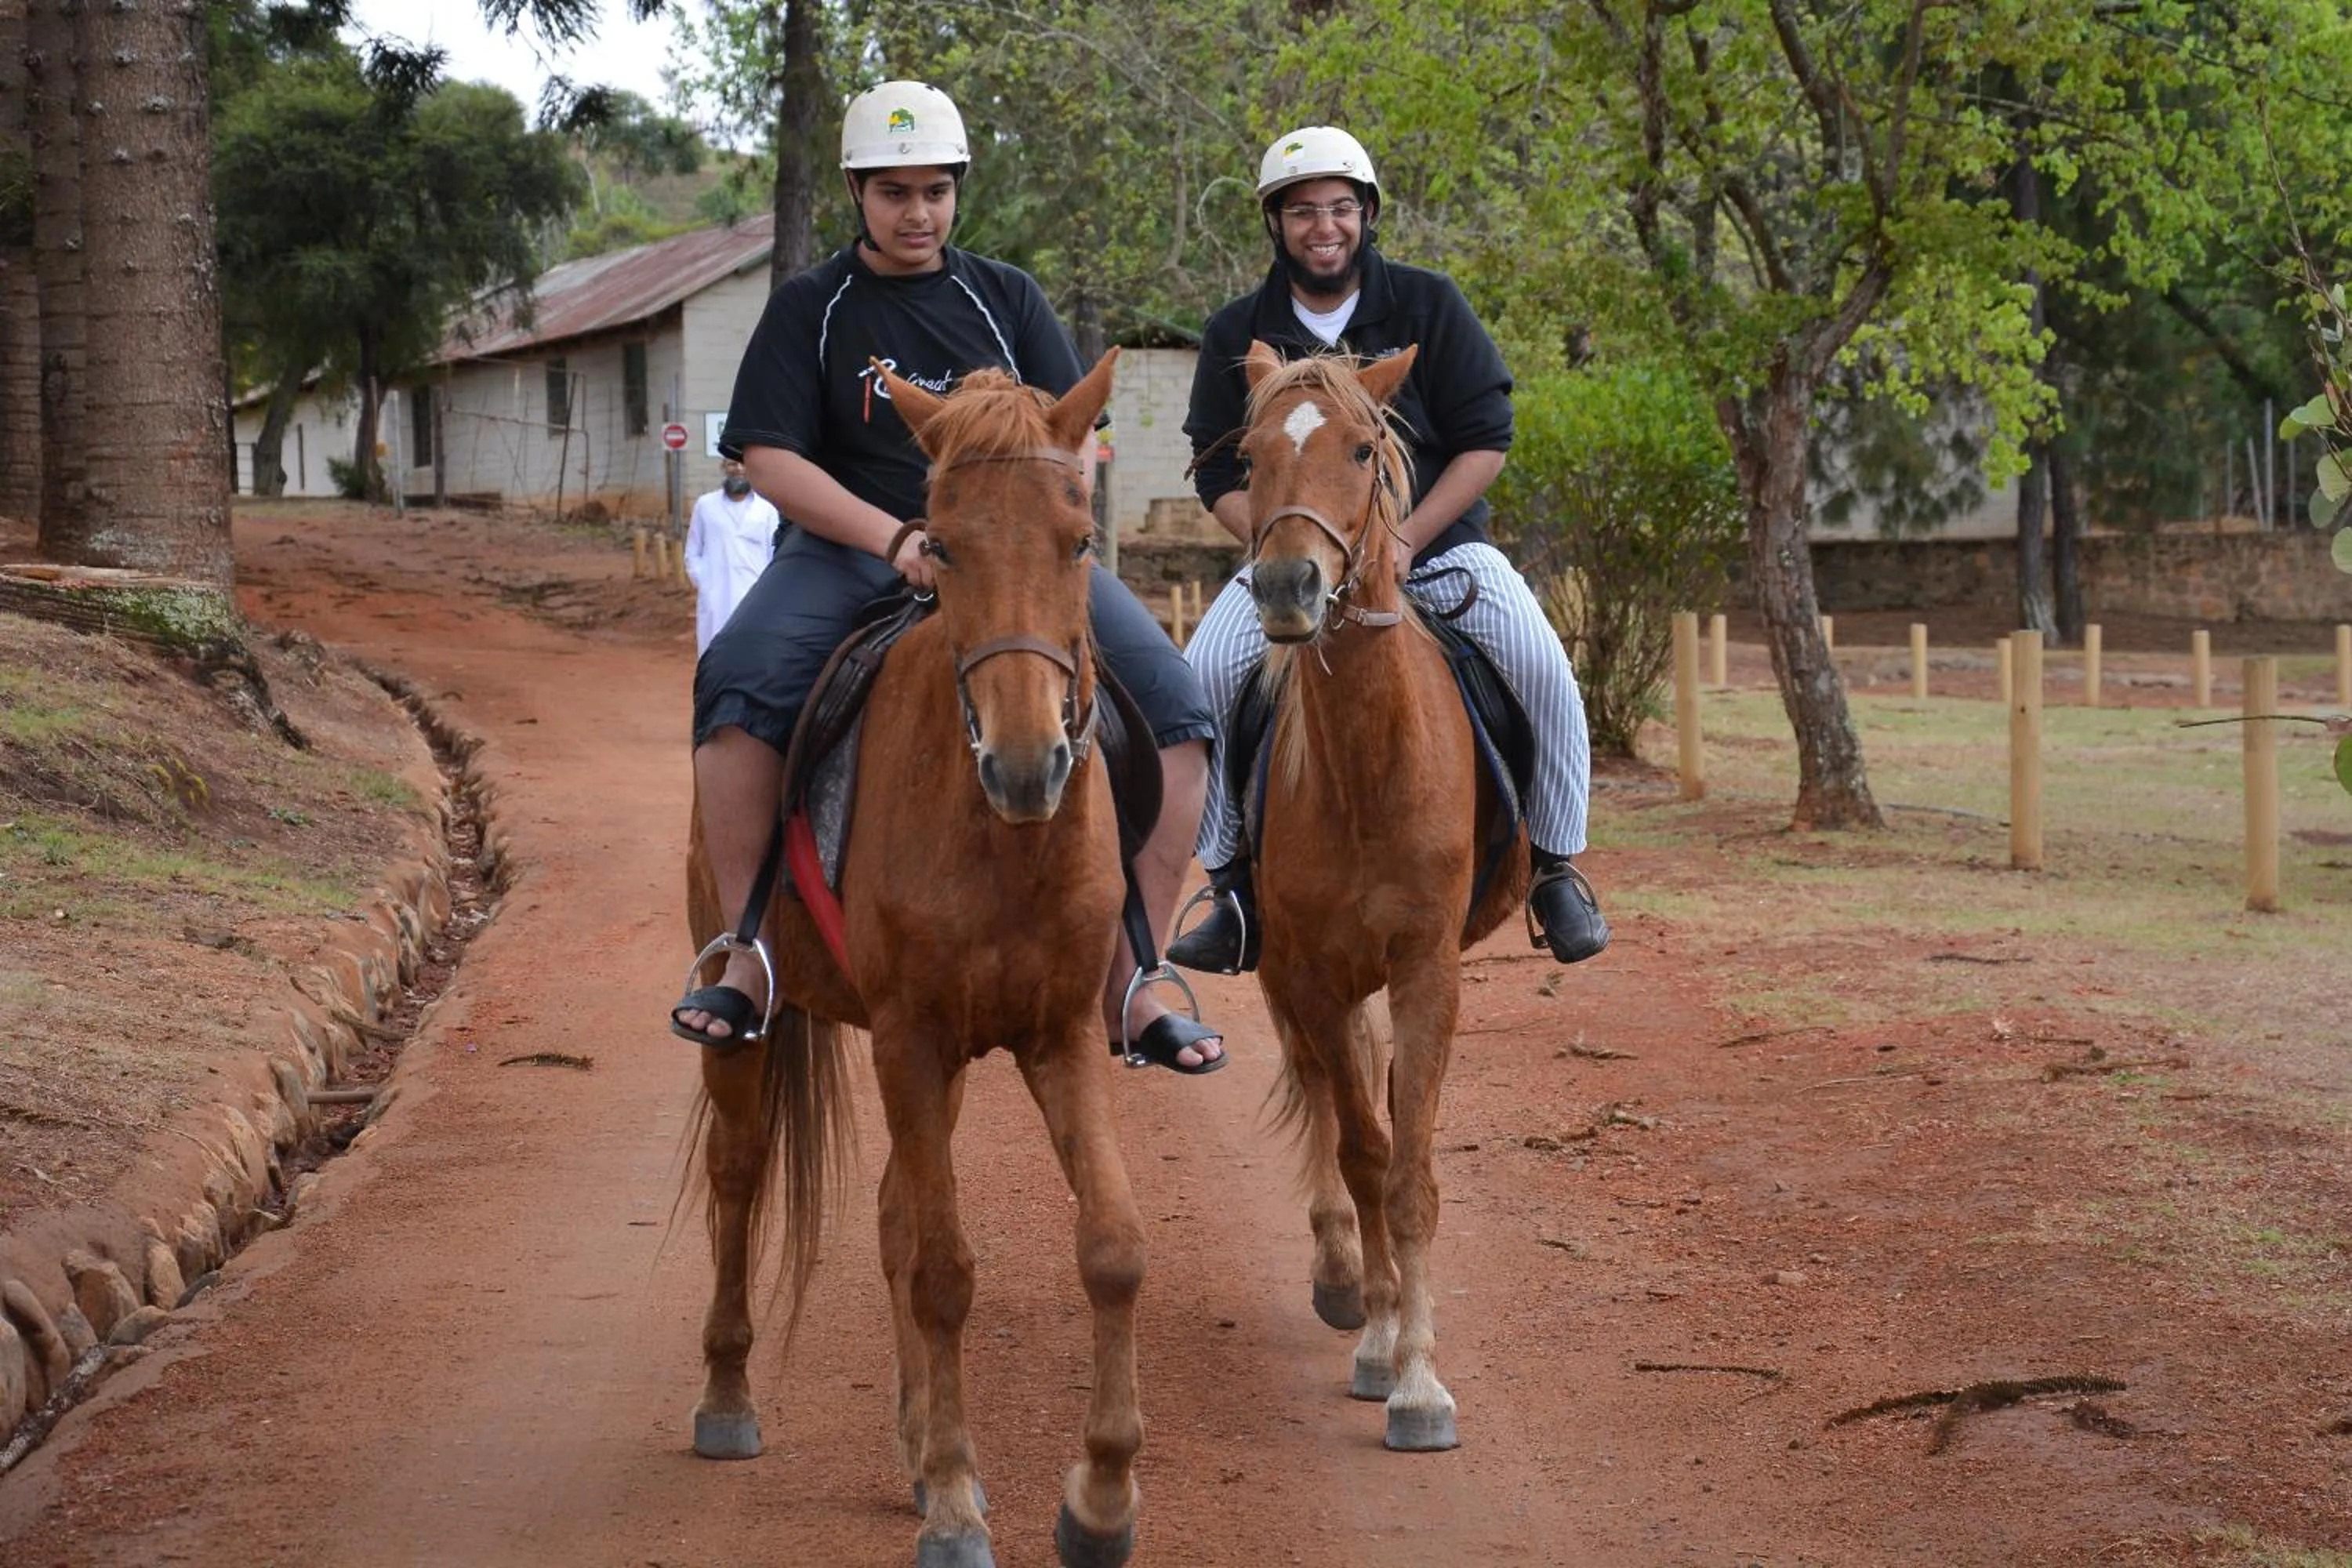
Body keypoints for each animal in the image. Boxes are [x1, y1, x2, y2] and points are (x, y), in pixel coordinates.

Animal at [682, 353, 1149, 1568]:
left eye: (1080, 540)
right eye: (938, 543)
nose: (1028, 766)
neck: (1001, 838)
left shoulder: (1058, 1035)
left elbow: (1111, 1246)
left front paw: (1099, 1499)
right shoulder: (912, 1037)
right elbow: (945, 1270)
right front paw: (952, 1502)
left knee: (896, 1208)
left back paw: (914, 1431)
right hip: (761, 1035)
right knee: (740, 1178)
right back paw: (728, 1397)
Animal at [1230, 340, 1528, 1452]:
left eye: (1363, 449)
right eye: (1250, 452)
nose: (1287, 584)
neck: (1366, 768)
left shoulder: (1426, 968)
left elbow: (1410, 1170)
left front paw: (1420, 1381)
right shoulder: (1309, 971)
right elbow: (1362, 1151)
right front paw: (1382, 1341)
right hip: (1285, 972)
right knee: (1321, 1092)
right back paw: (1341, 1279)